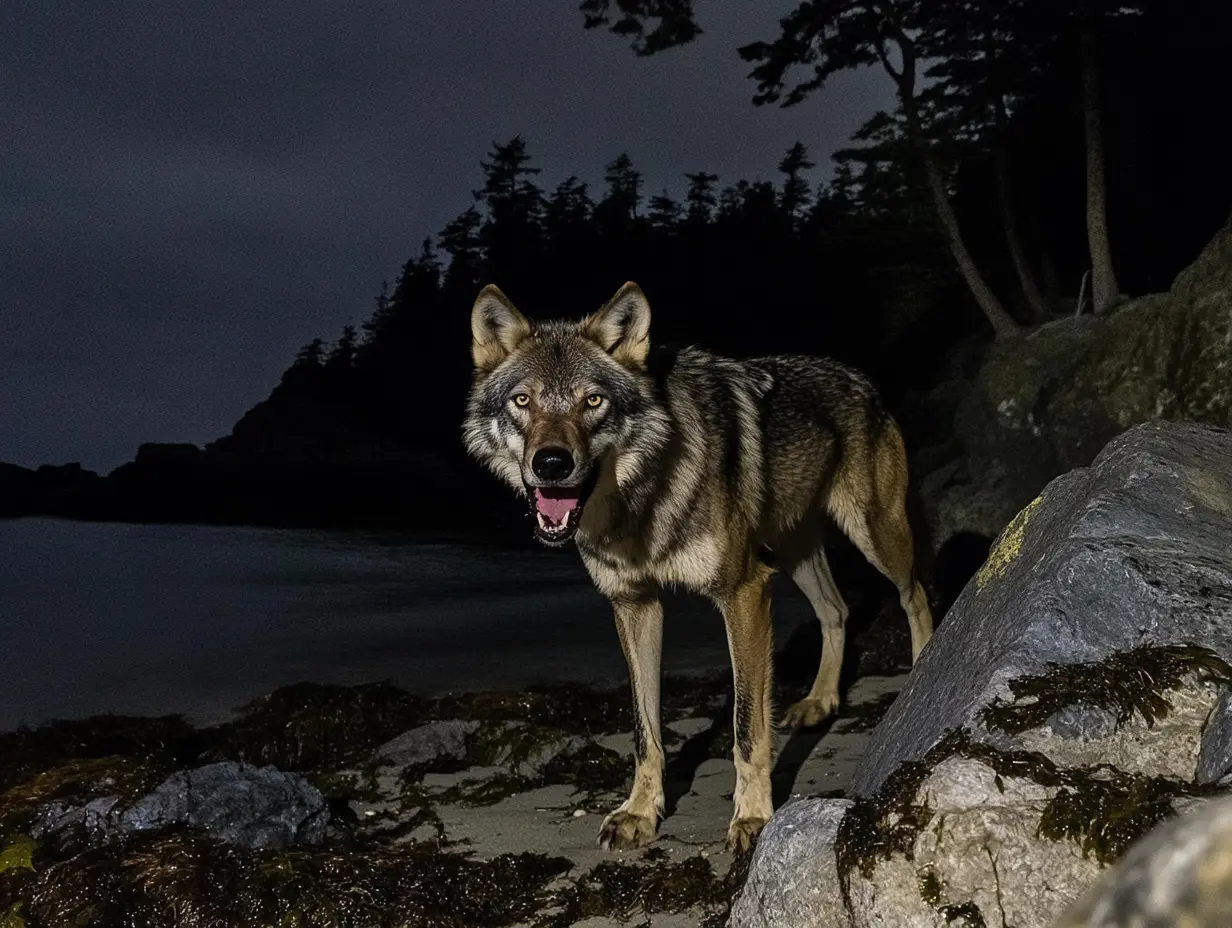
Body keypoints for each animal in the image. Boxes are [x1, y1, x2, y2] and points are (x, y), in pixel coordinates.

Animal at [462, 281, 934, 852]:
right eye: (523, 400)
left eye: (593, 401)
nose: (551, 464)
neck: (640, 498)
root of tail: (859, 376)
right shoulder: (634, 605)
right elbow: (645, 732)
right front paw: (639, 813)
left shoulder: (744, 593)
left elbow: (746, 727)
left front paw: (752, 817)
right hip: (795, 553)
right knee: (836, 610)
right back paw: (819, 701)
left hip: (875, 536)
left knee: (916, 595)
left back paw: (923, 668)